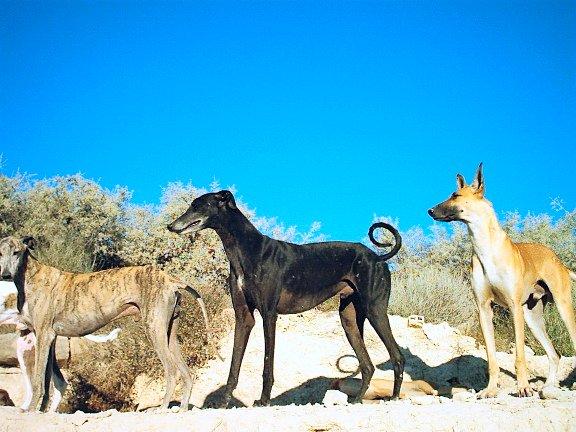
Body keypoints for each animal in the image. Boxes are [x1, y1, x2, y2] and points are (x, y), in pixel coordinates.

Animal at [0, 236, 212, 412]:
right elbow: (46, 379)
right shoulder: (48, 338)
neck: (31, 276)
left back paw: (162, 408)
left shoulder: (44, 336)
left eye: (16, 252)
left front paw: (30, 410)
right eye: (0, 253)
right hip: (169, 333)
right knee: (187, 373)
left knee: (172, 371)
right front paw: (42, 411)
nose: (5, 275)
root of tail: (170, 279)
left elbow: (38, 380)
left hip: (155, 330)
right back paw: (182, 408)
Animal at [168, 191, 404, 406]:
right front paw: (224, 403)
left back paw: (393, 398)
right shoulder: (243, 318)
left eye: (198, 205)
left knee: (397, 357)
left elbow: (267, 364)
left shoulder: (268, 315)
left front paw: (263, 401)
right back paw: (356, 400)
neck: (247, 249)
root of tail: (377, 257)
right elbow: (234, 366)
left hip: (375, 310)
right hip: (349, 319)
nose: (171, 226)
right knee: (367, 365)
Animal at [428, 163, 576, 398]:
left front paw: (523, 388)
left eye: (455, 195)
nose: (430, 211)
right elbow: (492, 359)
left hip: (562, 306)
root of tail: (559, 261)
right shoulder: (484, 309)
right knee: (555, 354)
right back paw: (548, 387)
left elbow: (520, 357)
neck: (485, 247)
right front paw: (489, 390)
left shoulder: (514, 307)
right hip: (533, 317)